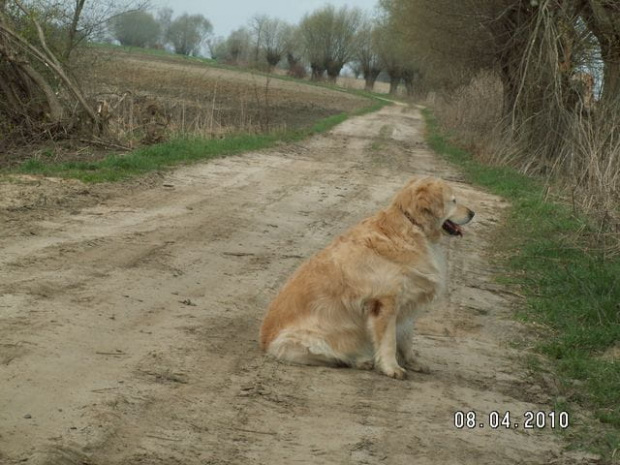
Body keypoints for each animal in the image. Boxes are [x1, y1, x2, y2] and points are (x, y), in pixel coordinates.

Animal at [260, 174, 472, 376]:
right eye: (454, 200)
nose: (472, 213)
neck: (413, 227)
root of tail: (264, 342)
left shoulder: (406, 305)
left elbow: (406, 340)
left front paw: (413, 363)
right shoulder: (385, 304)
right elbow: (389, 342)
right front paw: (391, 368)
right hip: (310, 340)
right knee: (336, 357)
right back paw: (361, 360)